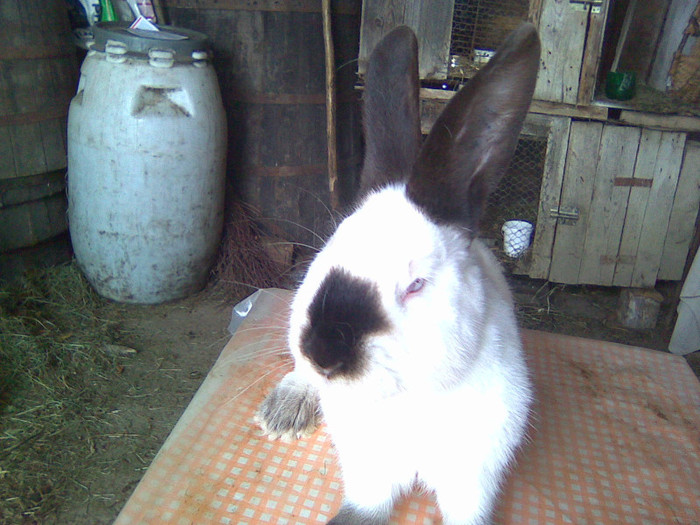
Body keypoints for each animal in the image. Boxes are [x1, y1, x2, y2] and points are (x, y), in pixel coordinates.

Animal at [258, 21, 540, 524]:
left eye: (415, 285)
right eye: (326, 257)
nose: (323, 352)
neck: (409, 400)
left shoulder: (472, 479)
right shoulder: (369, 470)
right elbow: (363, 508)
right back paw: (285, 408)